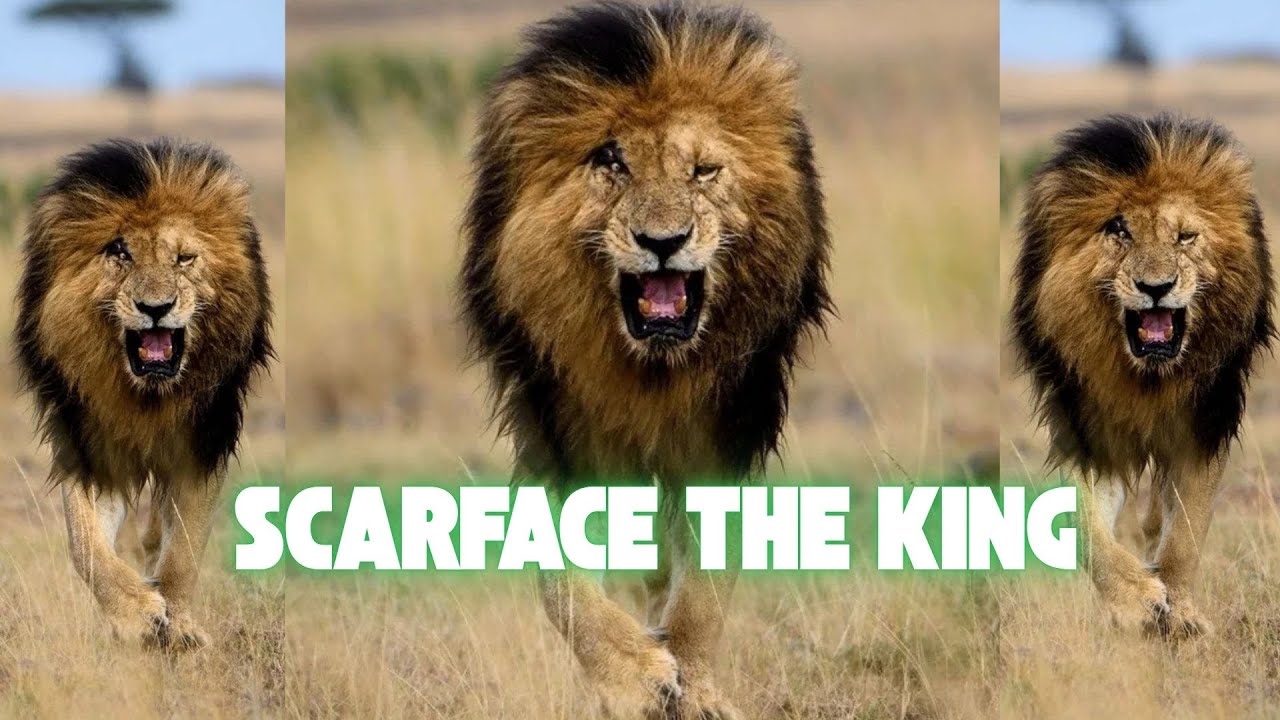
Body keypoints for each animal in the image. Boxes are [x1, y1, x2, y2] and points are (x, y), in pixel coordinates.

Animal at [13, 138, 273, 650]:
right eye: (120, 253)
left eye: (184, 259)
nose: (156, 308)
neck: (148, 396)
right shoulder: (87, 445)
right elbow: (86, 547)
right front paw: (135, 615)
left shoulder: (203, 441)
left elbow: (186, 546)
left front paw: (180, 623)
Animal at [460, 2, 831, 717]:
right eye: (612, 163)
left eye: (703, 171)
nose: (664, 241)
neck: (649, 372)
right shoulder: (556, 435)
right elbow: (560, 582)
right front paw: (634, 678)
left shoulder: (724, 433)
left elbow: (708, 584)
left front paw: (695, 685)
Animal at [1010, 114, 1274, 638]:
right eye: (1119, 231)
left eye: (1185, 237)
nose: (1157, 287)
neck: (1148, 378)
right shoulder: (1085, 429)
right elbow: (1084, 529)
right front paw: (1134, 601)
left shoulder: (1205, 423)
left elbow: (1188, 528)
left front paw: (1181, 609)